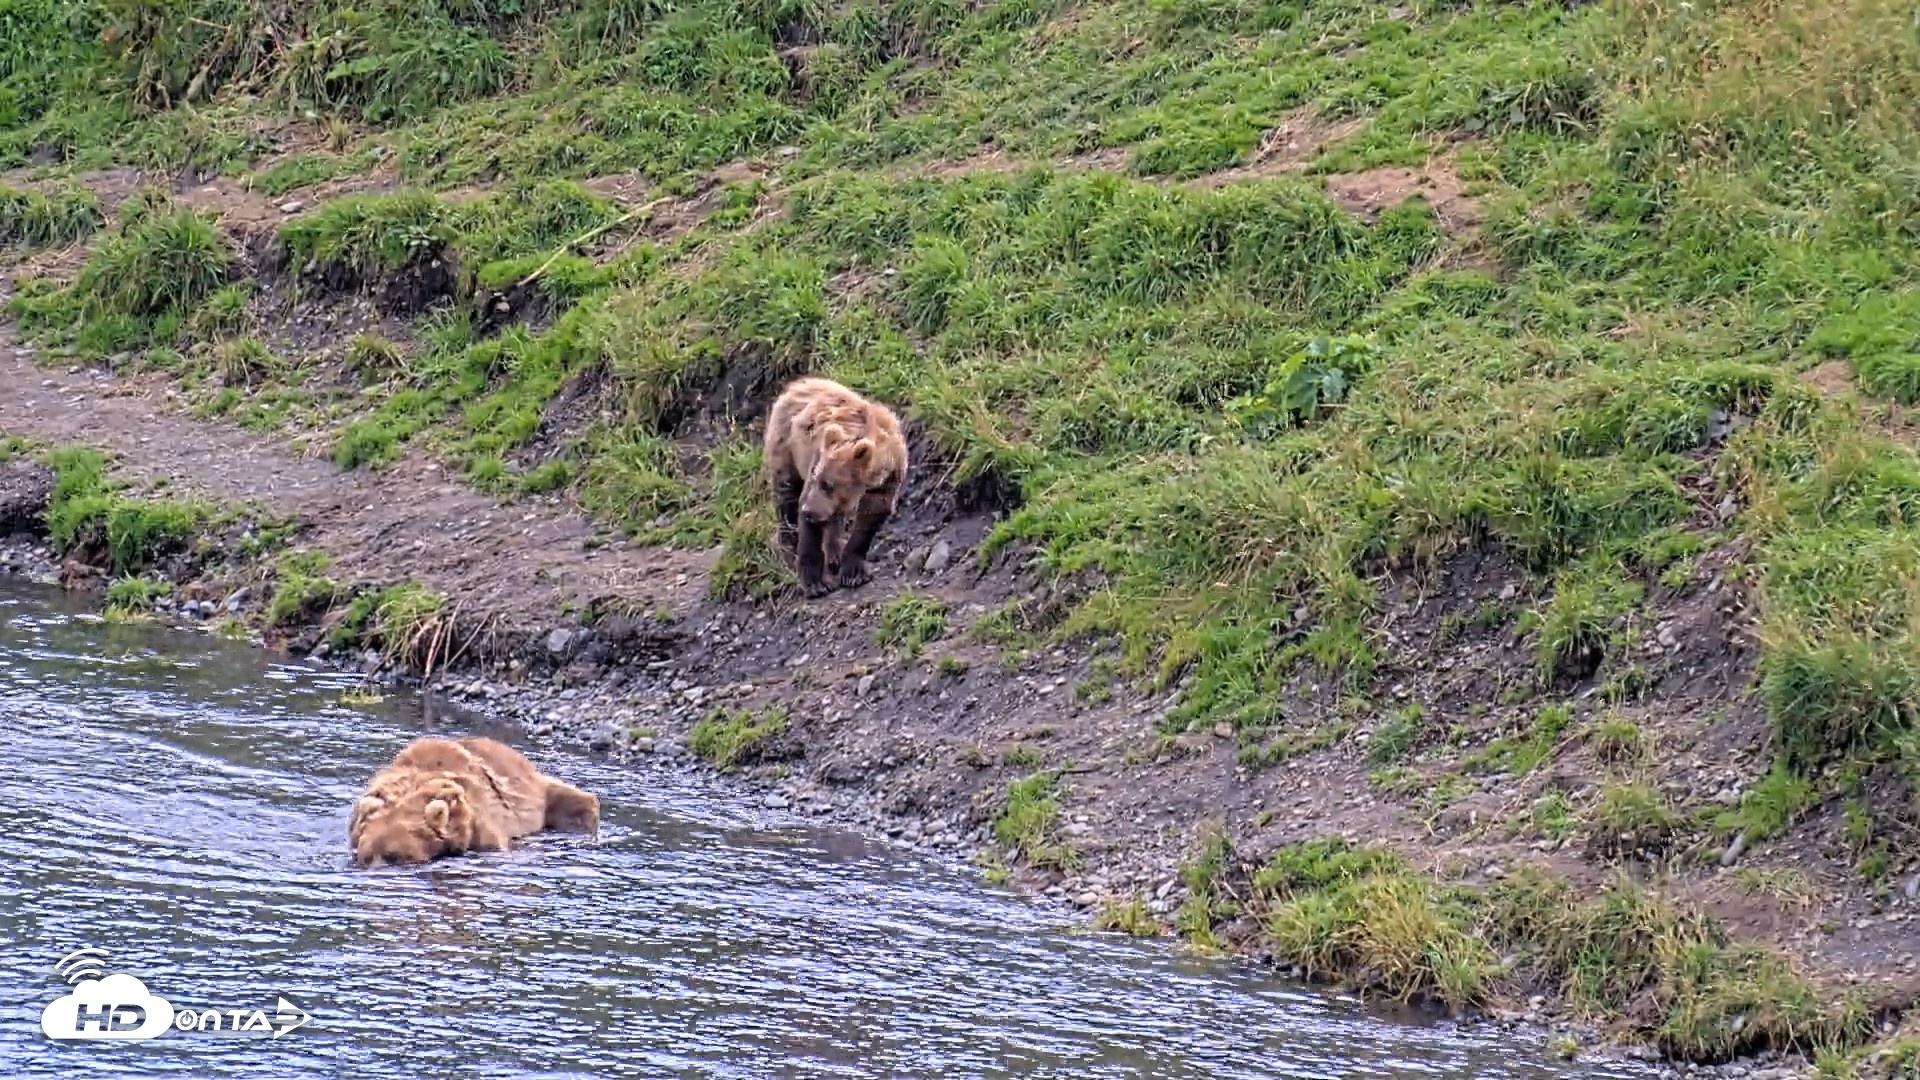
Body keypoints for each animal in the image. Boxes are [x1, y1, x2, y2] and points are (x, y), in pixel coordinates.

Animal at [762, 376, 909, 597]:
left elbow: (870, 518)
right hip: (785, 446)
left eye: (828, 484)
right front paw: (815, 583)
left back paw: (834, 555)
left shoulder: (888, 479)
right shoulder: (817, 458)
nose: (808, 511)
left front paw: (853, 573)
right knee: (786, 495)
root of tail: (796, 384)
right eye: (818, 479)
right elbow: (809, 527)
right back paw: (790, 549)